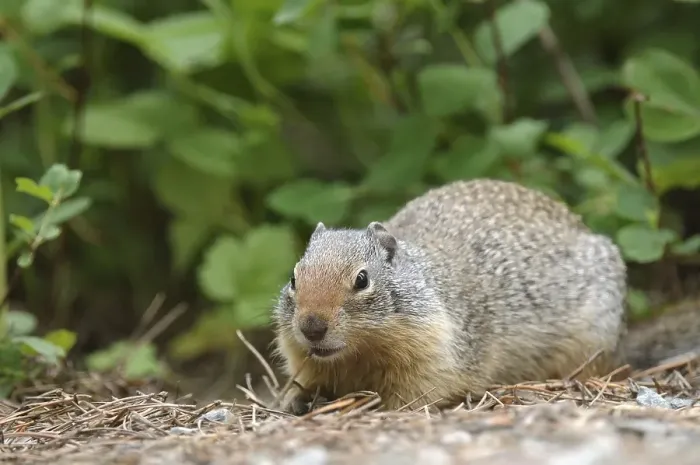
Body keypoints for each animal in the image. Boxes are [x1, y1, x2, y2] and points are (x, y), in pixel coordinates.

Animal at [271, 178, 700, 414]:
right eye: (293, 277)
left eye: (362, 279)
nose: (311, 327)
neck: (359, 353)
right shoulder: (304, 360)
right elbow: (302, 380)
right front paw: (290, 401)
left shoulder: (435, 355)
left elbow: (416, 395)